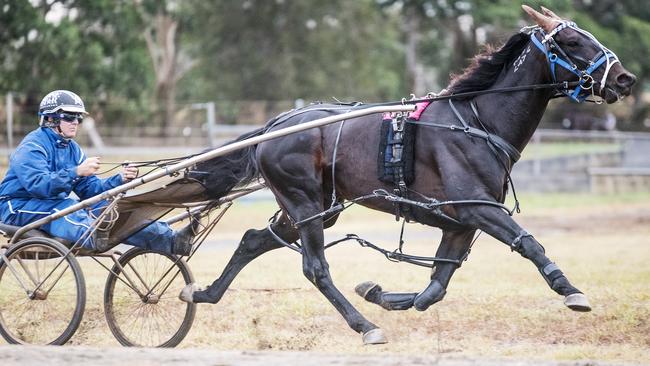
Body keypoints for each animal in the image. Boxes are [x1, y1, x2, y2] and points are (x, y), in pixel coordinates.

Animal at [180, 5, 636, 344]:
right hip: (304, 203)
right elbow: (529, 243)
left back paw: (204, 291)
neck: (476, 122)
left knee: (254, 239)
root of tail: (277, 123)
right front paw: (571, 290)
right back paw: (364, 326)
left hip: (317, 207)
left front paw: (378, 292)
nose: (625, 78)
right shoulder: (478, 210)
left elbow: (435, 287)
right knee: (315, 268)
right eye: (572, 41)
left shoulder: (460, 222)